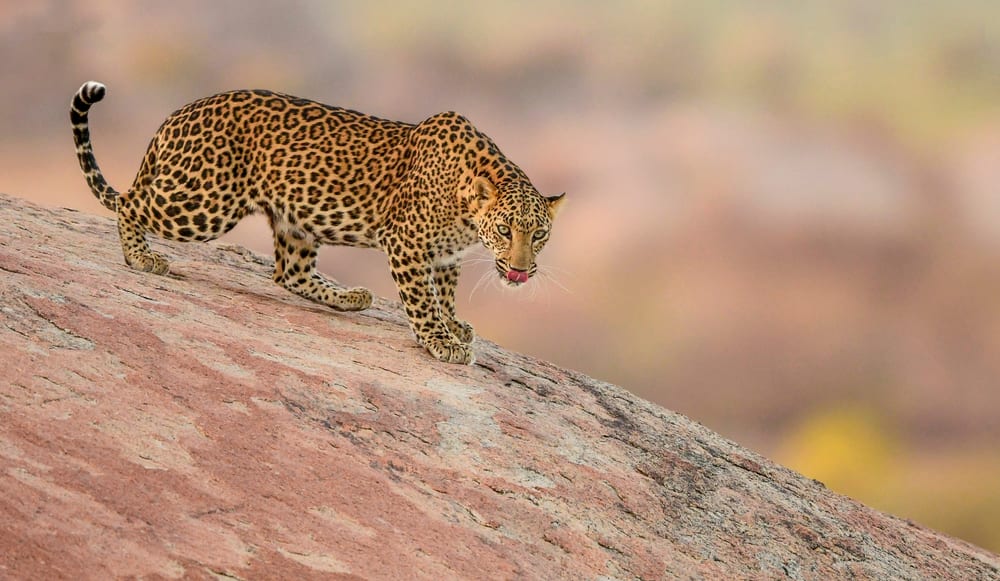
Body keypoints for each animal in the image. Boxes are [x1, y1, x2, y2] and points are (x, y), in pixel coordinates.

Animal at [70, 81, 564, 365]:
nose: (520, 270)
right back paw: (141, 257)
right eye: (505, 230)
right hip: (203, 201)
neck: (466, 207)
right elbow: (422, 300)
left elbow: (444, 293)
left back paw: (350, 297)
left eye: (538, 233)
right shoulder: (407, 244)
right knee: (130, 203)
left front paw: (454, 324)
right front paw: (441, 341)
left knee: (288, 273)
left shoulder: (445, 256)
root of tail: (177, 115)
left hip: (295, 221)